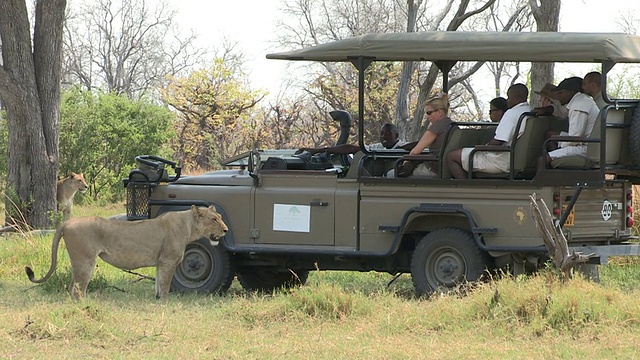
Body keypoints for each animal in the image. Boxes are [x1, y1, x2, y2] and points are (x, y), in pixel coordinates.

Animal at [25, 204, 230, 300]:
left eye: (220, 217)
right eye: (213, 219)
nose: (226, 230)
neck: (189, 226)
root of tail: (67, 222)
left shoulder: (160, 262)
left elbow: (158, 283)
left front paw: (157, 300)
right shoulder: (168, 260)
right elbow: (165, 285)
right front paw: (165, 303)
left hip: (79, 262)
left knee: (71, 287)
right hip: (85, 261)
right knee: (77, 288)